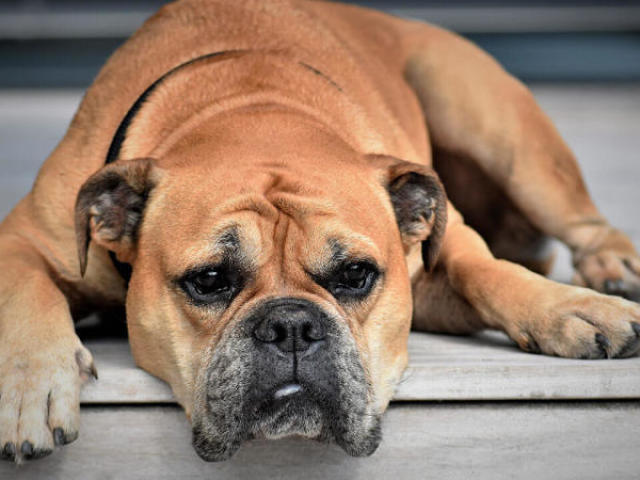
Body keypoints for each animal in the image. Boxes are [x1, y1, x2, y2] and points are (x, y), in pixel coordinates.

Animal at [1, 0, 640, 464]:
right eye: (208, 280)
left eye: (356, 274)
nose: (291, 326)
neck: (251, 107)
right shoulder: (22, 236)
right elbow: (24, 291)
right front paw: (32, 386)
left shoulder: (439, 256)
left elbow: (485, 270)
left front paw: (572, 309)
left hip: (500, 130)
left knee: (580, 220)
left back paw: (612, 269)